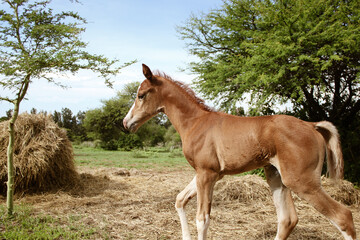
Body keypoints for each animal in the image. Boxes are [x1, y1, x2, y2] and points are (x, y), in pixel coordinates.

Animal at [124, 64, 358, 240]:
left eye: (141, 95)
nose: (126, 123)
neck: (195, 122)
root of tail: (311, 125)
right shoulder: (206, 174)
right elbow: (180, 200)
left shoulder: (206, 174)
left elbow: (202, 219)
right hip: (277, 177)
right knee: (287, 219)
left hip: (302, 181)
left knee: (343, 216)